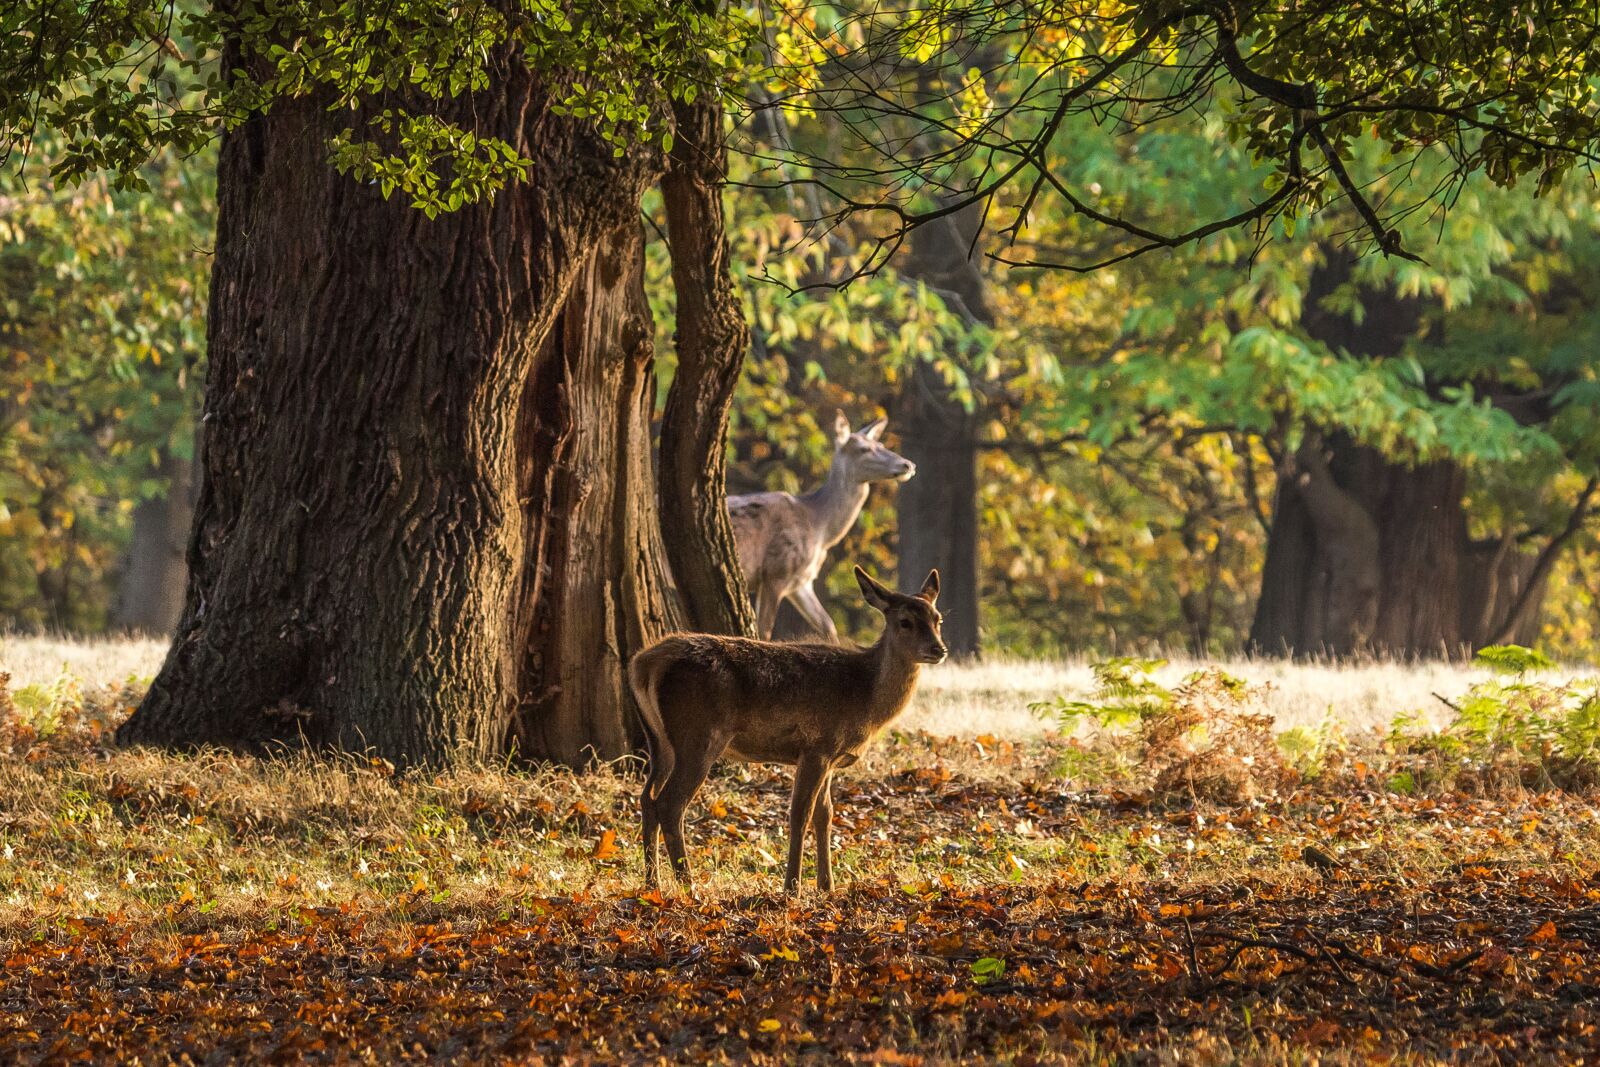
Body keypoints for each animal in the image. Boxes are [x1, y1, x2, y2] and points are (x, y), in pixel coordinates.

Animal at [629, 565, 946, 895]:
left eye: (938, 619)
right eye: (905, 622)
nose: (939, 649)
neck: (865, 697)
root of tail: (644, 664)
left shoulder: (830, 756)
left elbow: (825, 814)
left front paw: (826, 886)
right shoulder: (817, 746)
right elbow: (800, 814)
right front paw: (792, 887)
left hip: (660, 742)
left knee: (647, 798)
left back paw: (652, 882)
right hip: (698, 736)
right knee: (670, 804)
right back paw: (688, 885)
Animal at [729, 410, 915, 641]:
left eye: (880, 443)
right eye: (865, 449)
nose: (907, 465)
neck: (819, 529)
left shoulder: (802, 580)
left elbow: (828, 625)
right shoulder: (777, 570)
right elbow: (764, 630)